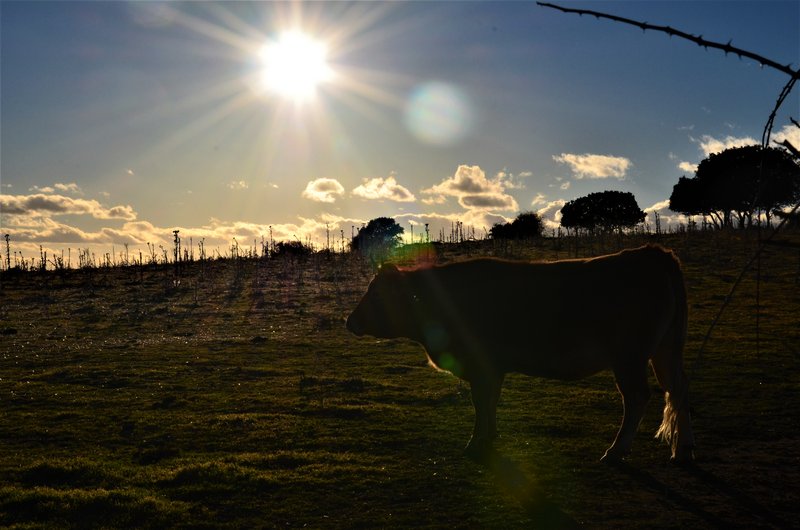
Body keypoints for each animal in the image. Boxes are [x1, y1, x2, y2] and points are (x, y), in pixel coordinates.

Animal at [346, 245, 696, 460]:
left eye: (375, 294)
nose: (350, 321)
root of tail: (651, 253)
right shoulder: (494, 368)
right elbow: (490, 402)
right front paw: (490, 436)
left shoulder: (480, 365)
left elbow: (480, 402)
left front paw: (475, 443)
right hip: (664, 350)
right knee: (679, 389)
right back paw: (682, 450)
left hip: (629, 356)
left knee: (638, 397)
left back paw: (616, 451)